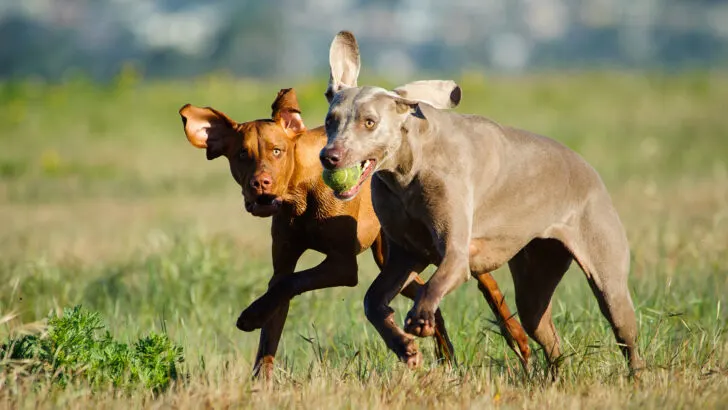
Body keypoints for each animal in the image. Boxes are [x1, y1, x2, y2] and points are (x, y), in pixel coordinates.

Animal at [176, 87, 528, 378]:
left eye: (277, 151)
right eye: (242, 154)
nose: (259, 184)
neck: (300, 194)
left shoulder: (343, 265)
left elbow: (291, 284)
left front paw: (250, 315)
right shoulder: (283, 265)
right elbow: (274, 317)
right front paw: (260, 376)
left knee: (487, 285)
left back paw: (518, 339)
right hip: (392, 255)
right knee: (426, 296)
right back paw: (433, 353)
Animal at [318, 31, 644, 378]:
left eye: (369, 122)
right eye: (330, 121)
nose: (329, 156)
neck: (407, 171)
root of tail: (589, 170)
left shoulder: (456, 252)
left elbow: (435, 282)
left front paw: (420, 320)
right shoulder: (406, 255)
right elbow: (372, 300)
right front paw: (404, 346)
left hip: (608, 279)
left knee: (626, 337)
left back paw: (636, 378)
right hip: (535, 278)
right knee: (547, 335)